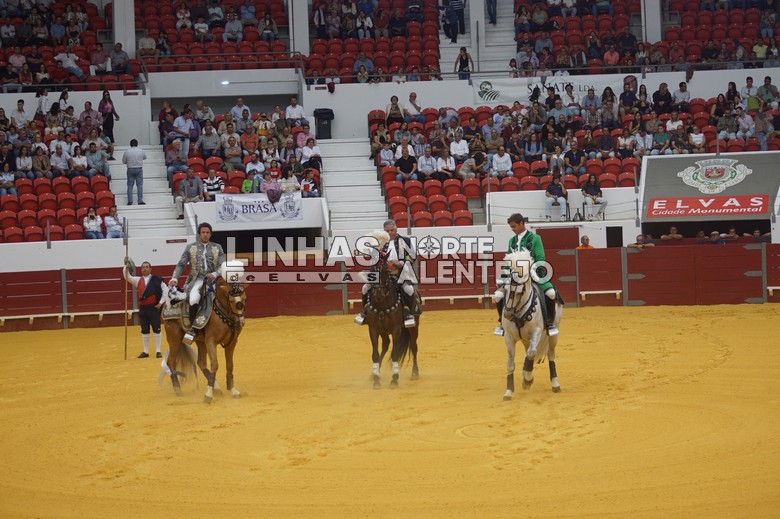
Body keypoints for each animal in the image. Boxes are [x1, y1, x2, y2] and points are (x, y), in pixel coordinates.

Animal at [500, 249, 562, 400]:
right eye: (505, 289)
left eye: (520, 291)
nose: (507, 314)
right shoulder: (509, 337)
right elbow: (511, 363)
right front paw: (509, 391)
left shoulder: (537, 332)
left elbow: (532, 353)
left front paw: (527, 379)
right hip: (525, 339)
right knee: (528, 353)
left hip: (553, 334)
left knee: (550, 354)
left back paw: (555, 384)